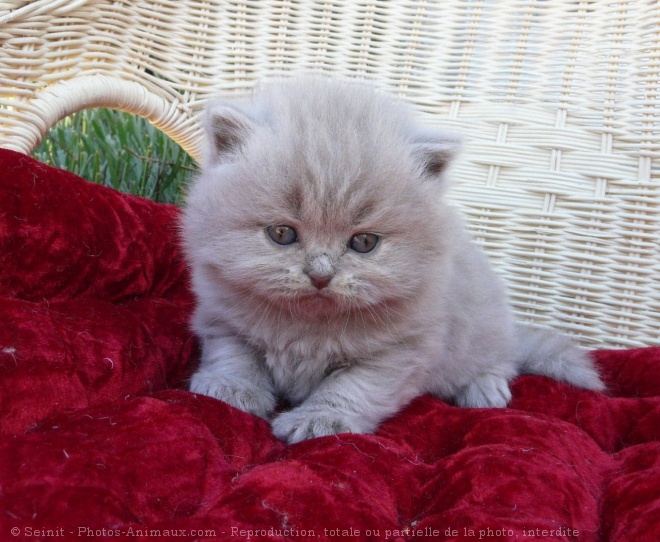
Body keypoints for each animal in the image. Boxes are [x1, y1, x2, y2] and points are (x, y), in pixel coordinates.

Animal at [180, 74, 604, 444]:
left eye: (364, 242)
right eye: (282, 234)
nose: (321, 274)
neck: (307, 329)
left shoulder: (400, 352)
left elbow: (352, 387)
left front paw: (320, 419)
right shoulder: (221, 316)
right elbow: (235, 355)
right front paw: (231, 388)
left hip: (481, 325)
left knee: (501, 358)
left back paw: (484, 387)